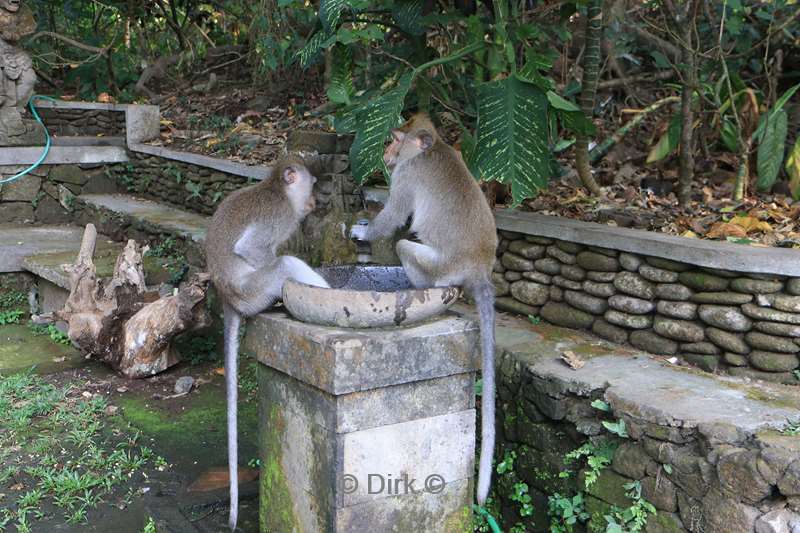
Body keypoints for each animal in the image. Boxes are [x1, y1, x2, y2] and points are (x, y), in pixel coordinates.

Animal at [208, 155, 332, 528]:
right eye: (312, 183)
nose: (315, 201)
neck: (276, 188)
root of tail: (227, 298)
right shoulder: (281, 216)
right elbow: (252, 249)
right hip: (253, 291)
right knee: (283, 264)